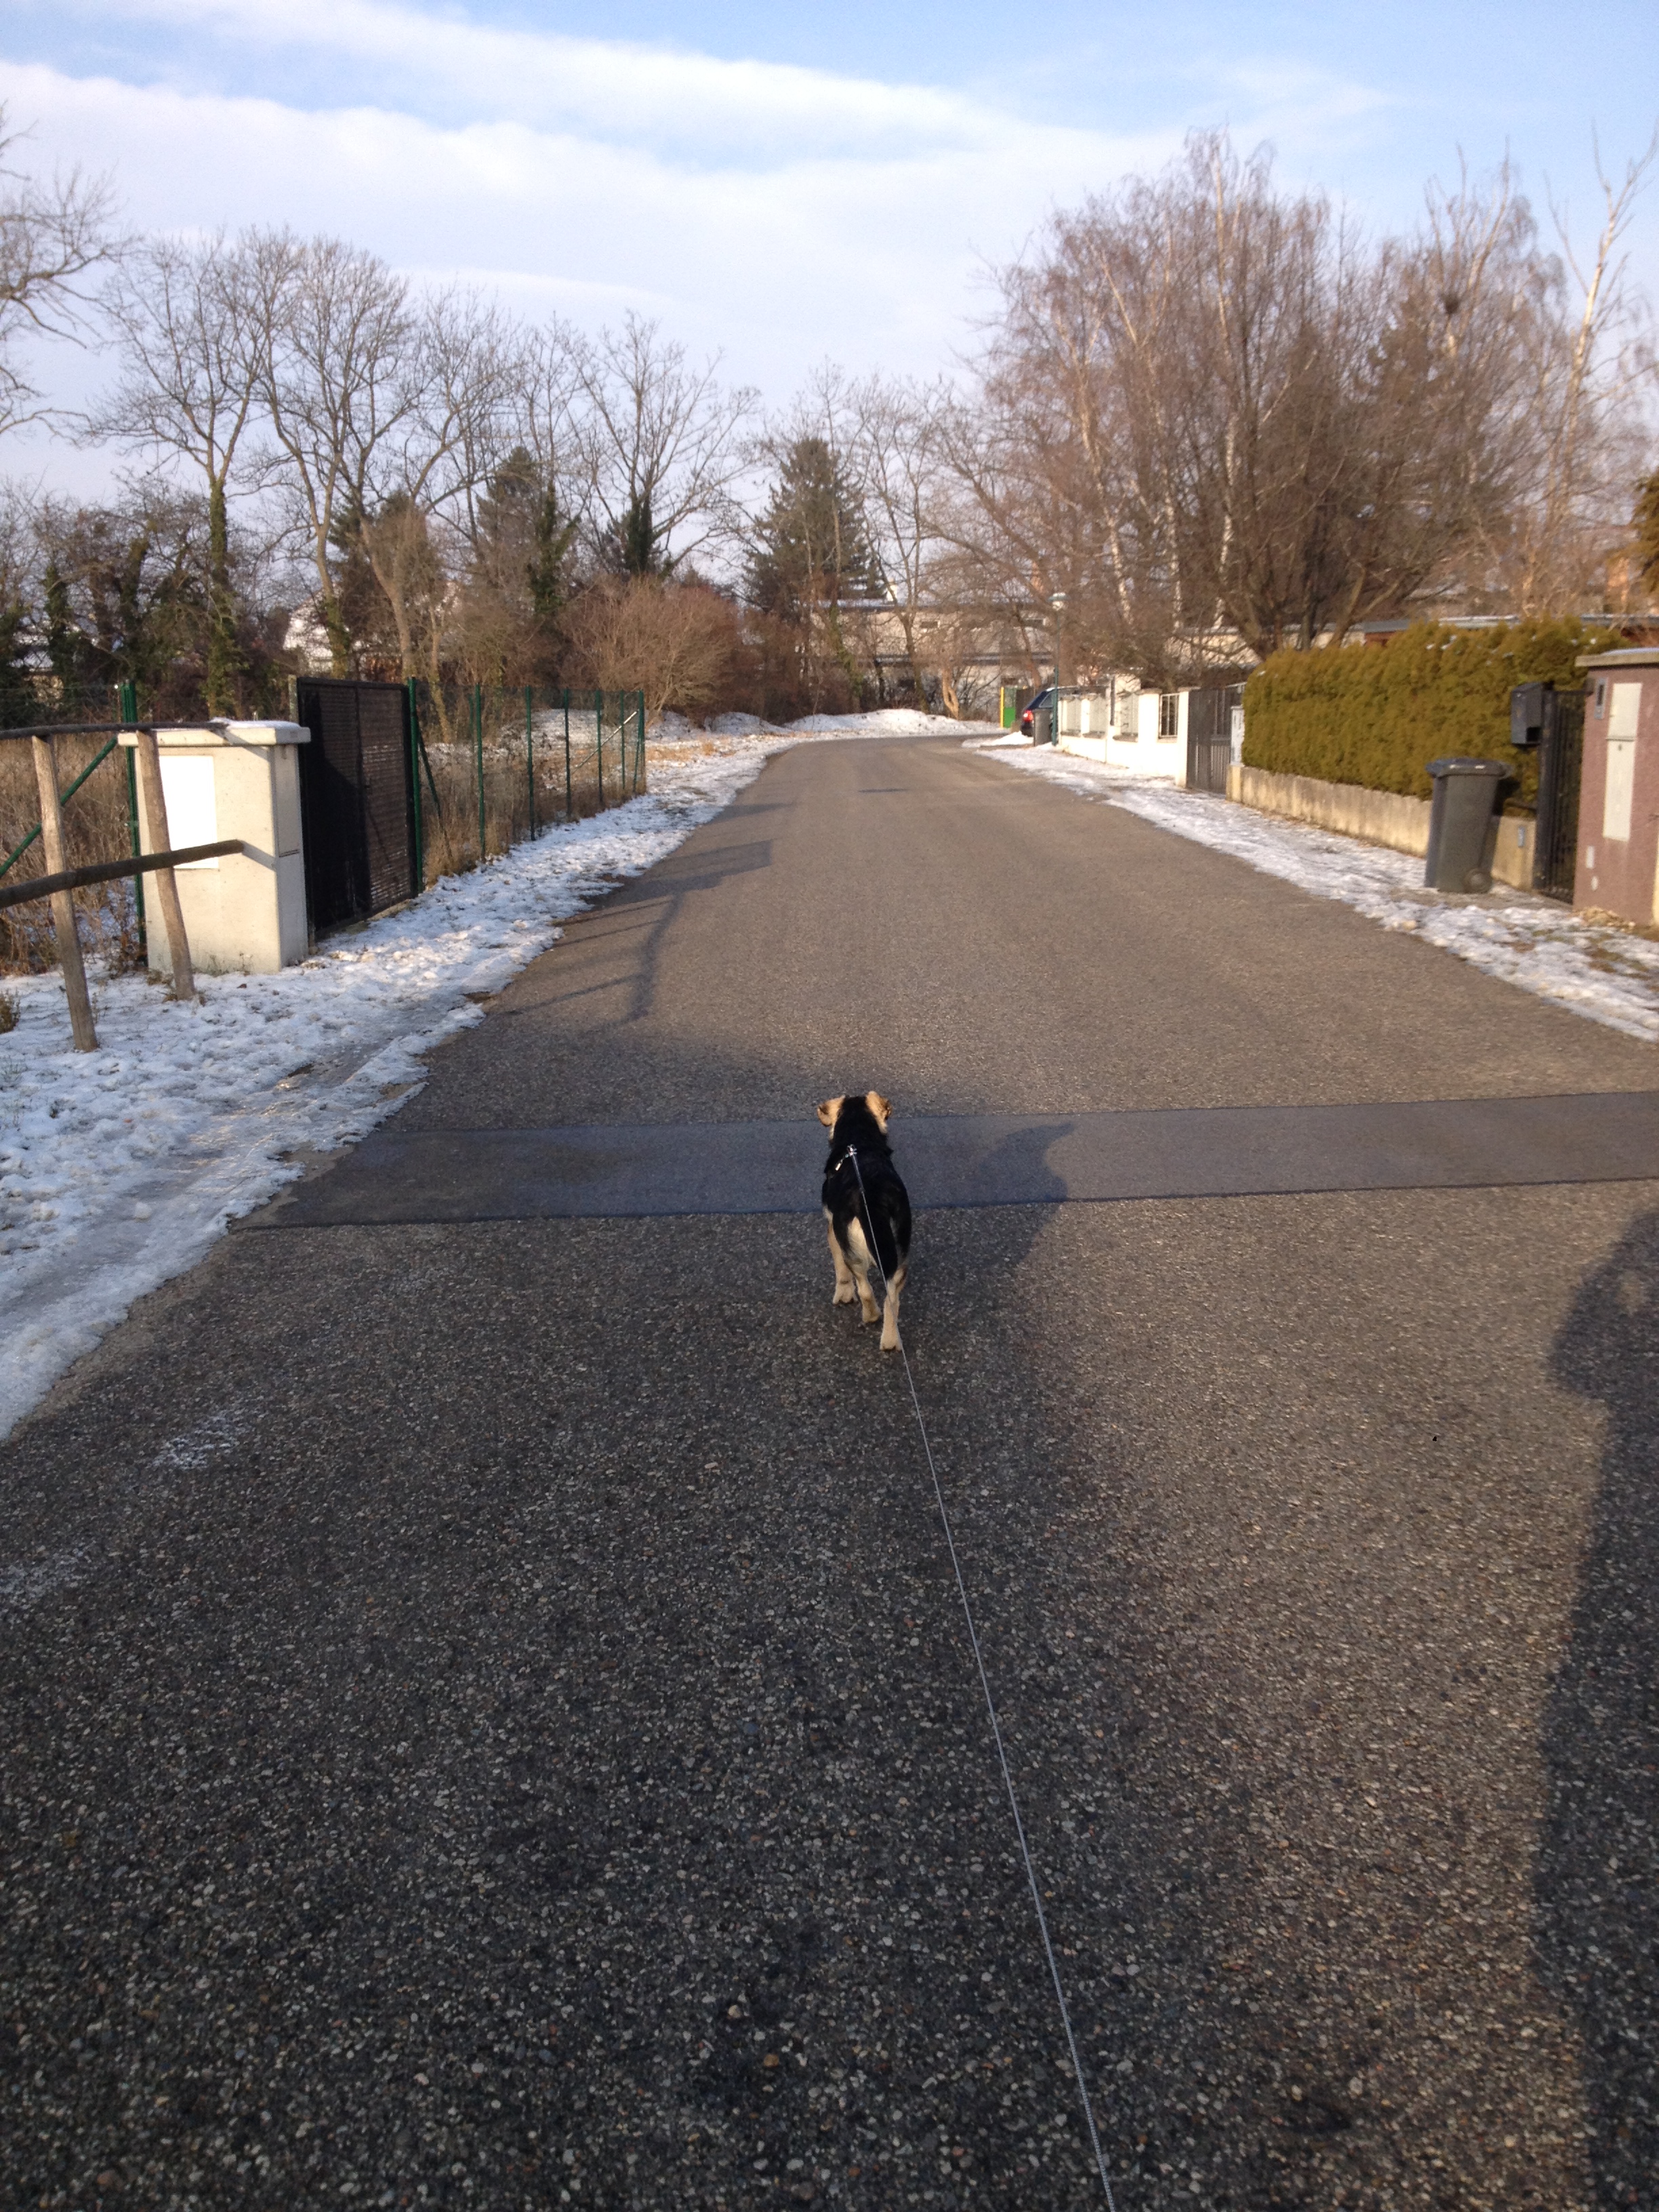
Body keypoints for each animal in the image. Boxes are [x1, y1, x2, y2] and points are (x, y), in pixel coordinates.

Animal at [818, 1090, 912, 1352]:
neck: (858, 1142)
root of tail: (871, 1197)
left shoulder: (833, 1231)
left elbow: (841, 1270)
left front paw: (843, 1294)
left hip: (854, 1254)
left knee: (866, 1290)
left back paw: (870, 1316)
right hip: (899, 1255)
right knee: (892, 1300)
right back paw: (891, 1340)